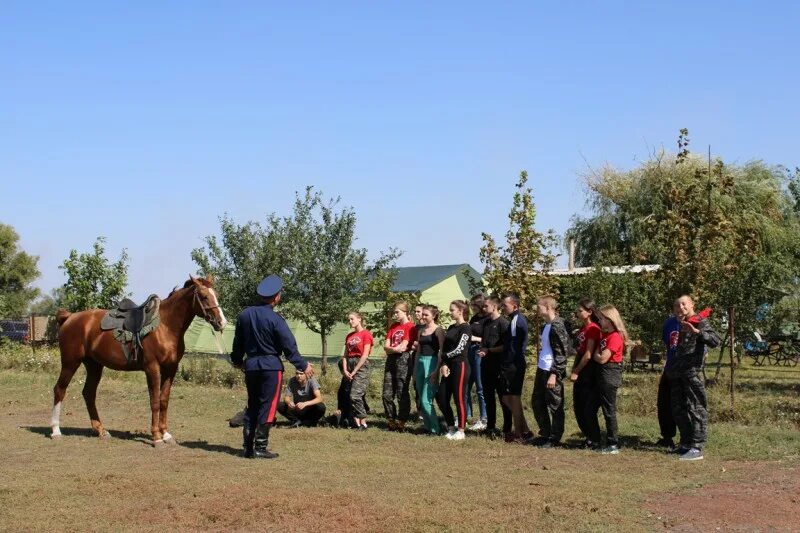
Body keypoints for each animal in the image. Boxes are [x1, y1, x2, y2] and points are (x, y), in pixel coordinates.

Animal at [52, 274, 228, 444]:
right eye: (204, 296)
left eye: (216, 295)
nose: (222, 322)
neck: (165, 327)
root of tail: (69, 318)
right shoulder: (152, 368)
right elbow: (154, 401)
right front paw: (156, 437)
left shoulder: (170, 369)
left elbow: (164, 400)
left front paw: (166, 434)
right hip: (70, 363)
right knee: (59, 390)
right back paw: (56, 431)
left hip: (94, 366)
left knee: (89, 394)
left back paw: (101, 430)